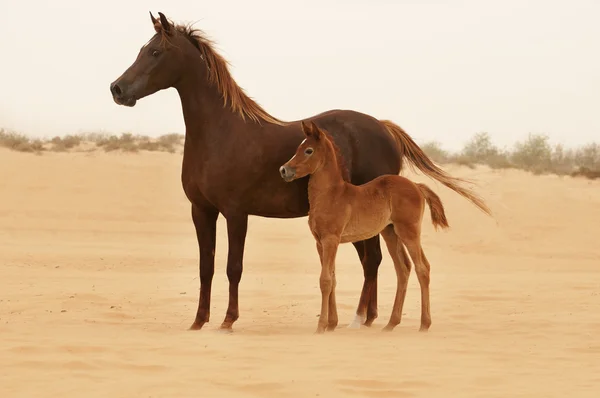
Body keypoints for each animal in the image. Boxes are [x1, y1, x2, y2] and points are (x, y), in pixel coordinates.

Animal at [278, 121, 448, 332]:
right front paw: (331, 324)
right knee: (403, 268)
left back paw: (424, 324)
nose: (284, 170)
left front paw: (321, 326)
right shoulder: (320, 242)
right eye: (297, 148)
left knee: (422, 268)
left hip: (409, 231)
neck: (330, 194)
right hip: (390, 233)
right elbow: (332, 278)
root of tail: (417, 186)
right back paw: (391, 324)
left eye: (309, 150)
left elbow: (325, 280)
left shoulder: (331, 239)